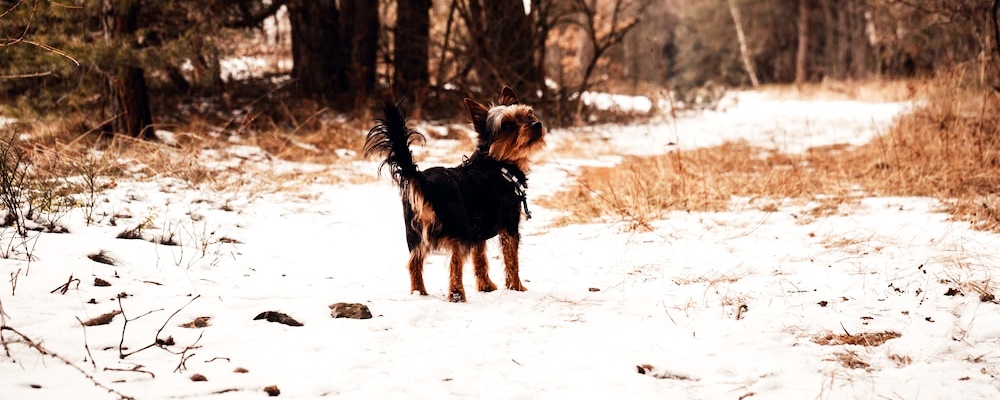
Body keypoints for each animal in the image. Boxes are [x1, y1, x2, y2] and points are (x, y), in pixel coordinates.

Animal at [364, 86, 544, 302]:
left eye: (529, 114)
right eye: (508, 126)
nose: (537, 124)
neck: (498, 165)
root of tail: (423, 181)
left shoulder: (477, 233)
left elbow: (480, 259)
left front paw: (486, 286)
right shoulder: (509, 227)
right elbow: (512, 262)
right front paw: (516, 288)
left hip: (415, 235)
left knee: (414, 263)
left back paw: (419, 293)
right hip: (459, 232)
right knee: (454, 264)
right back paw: (457, 295)